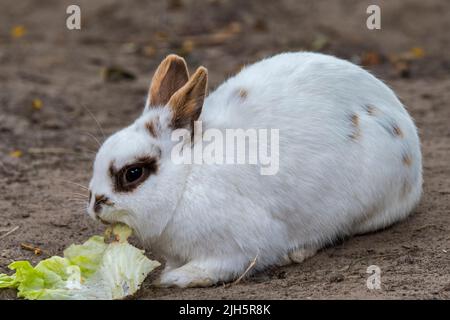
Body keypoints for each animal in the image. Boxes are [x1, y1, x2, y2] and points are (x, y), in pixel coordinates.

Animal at [87, 52, 422, 288]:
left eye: (133, 173)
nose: (94, 205)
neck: (186, 179)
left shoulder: (238, 247)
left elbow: (217, 267)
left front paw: (176, 278)